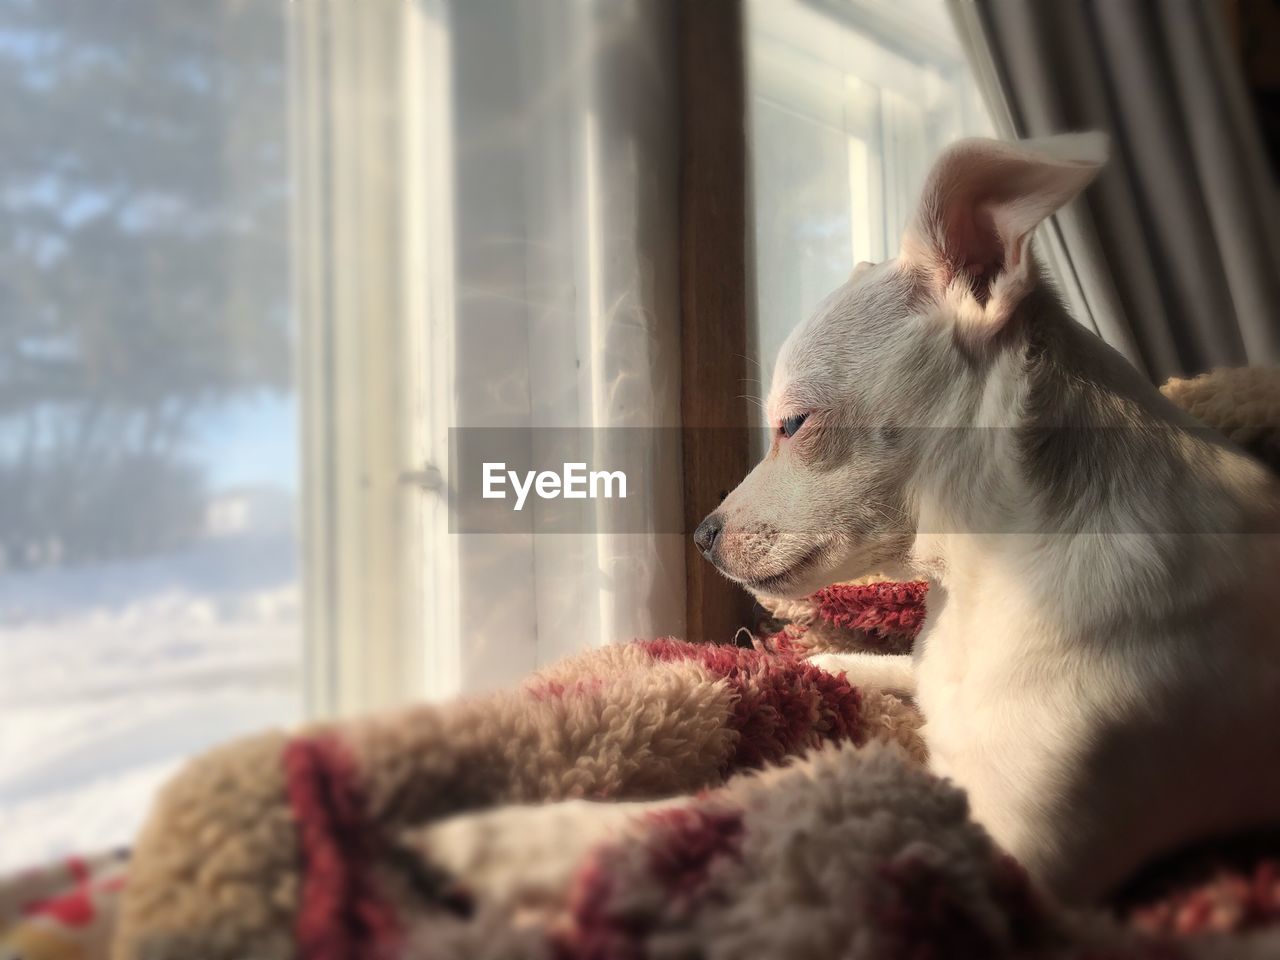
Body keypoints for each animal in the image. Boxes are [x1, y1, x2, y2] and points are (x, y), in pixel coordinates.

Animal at [696, 133, 1280, 901]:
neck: (977, 579)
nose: (701, 533)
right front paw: (821, 662)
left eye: (793, 424)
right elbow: (894, 670)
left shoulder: (1009, 850)